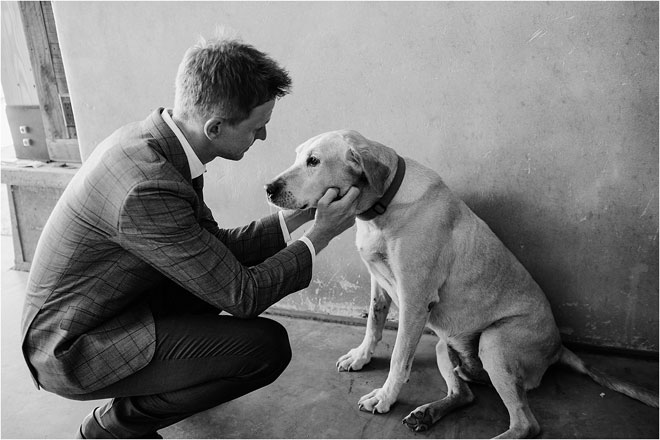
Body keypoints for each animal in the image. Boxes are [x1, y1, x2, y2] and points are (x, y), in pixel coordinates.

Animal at [265, 130, 658, 438]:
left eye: (313, 161)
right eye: (298, 156)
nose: (269, 188)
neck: (383, 205)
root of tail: (559, 347)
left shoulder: (414, 301)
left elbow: (399, 360)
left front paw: (385, 397)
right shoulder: (379, 282)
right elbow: (373, 323)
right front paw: (362, 356)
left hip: (494, 343)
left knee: (526, 424)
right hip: (445, 345)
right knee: (466, 395)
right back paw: (429, 413)